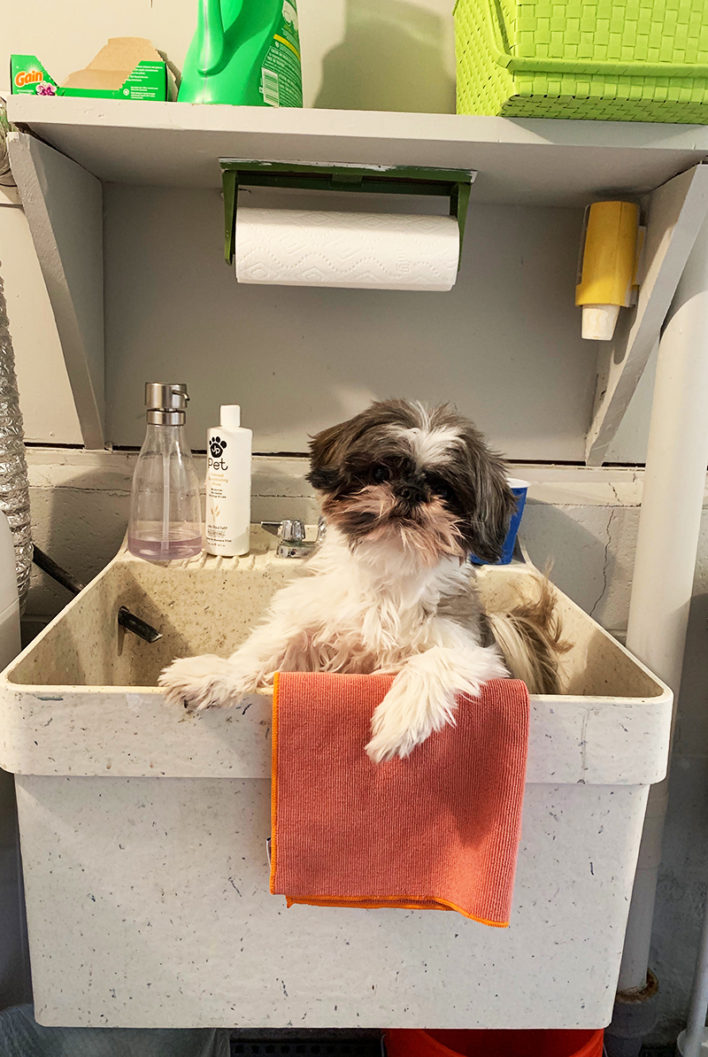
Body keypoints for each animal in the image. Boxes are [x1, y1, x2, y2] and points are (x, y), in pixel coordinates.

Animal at [160, 397, 566, 761]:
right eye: (380, 473)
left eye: (444, 490)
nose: (411, 491)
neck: (390, 564)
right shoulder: (313, 618)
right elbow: (268, 649)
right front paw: (215, 674)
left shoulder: (475, 651)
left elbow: (434, 661)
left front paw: (400, 719)